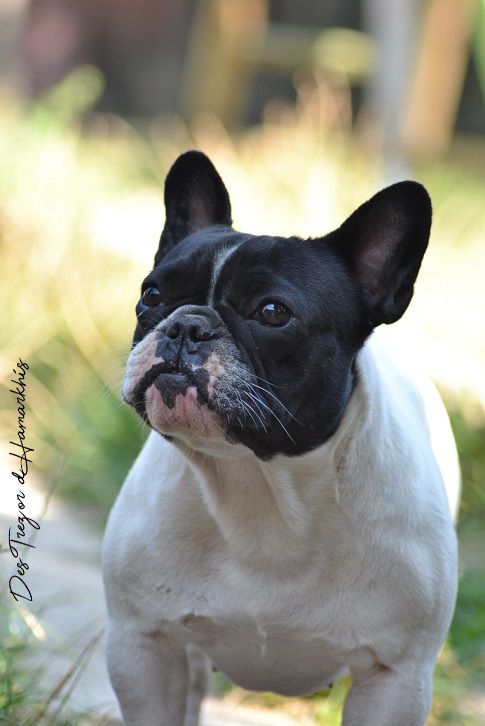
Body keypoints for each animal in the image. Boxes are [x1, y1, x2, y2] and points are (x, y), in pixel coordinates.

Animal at [102, 150, 459, 726]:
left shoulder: (396, 680)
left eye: (272, 312)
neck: (260, 484)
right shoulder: (142, 646)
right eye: (151, 295)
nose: (185, 326)